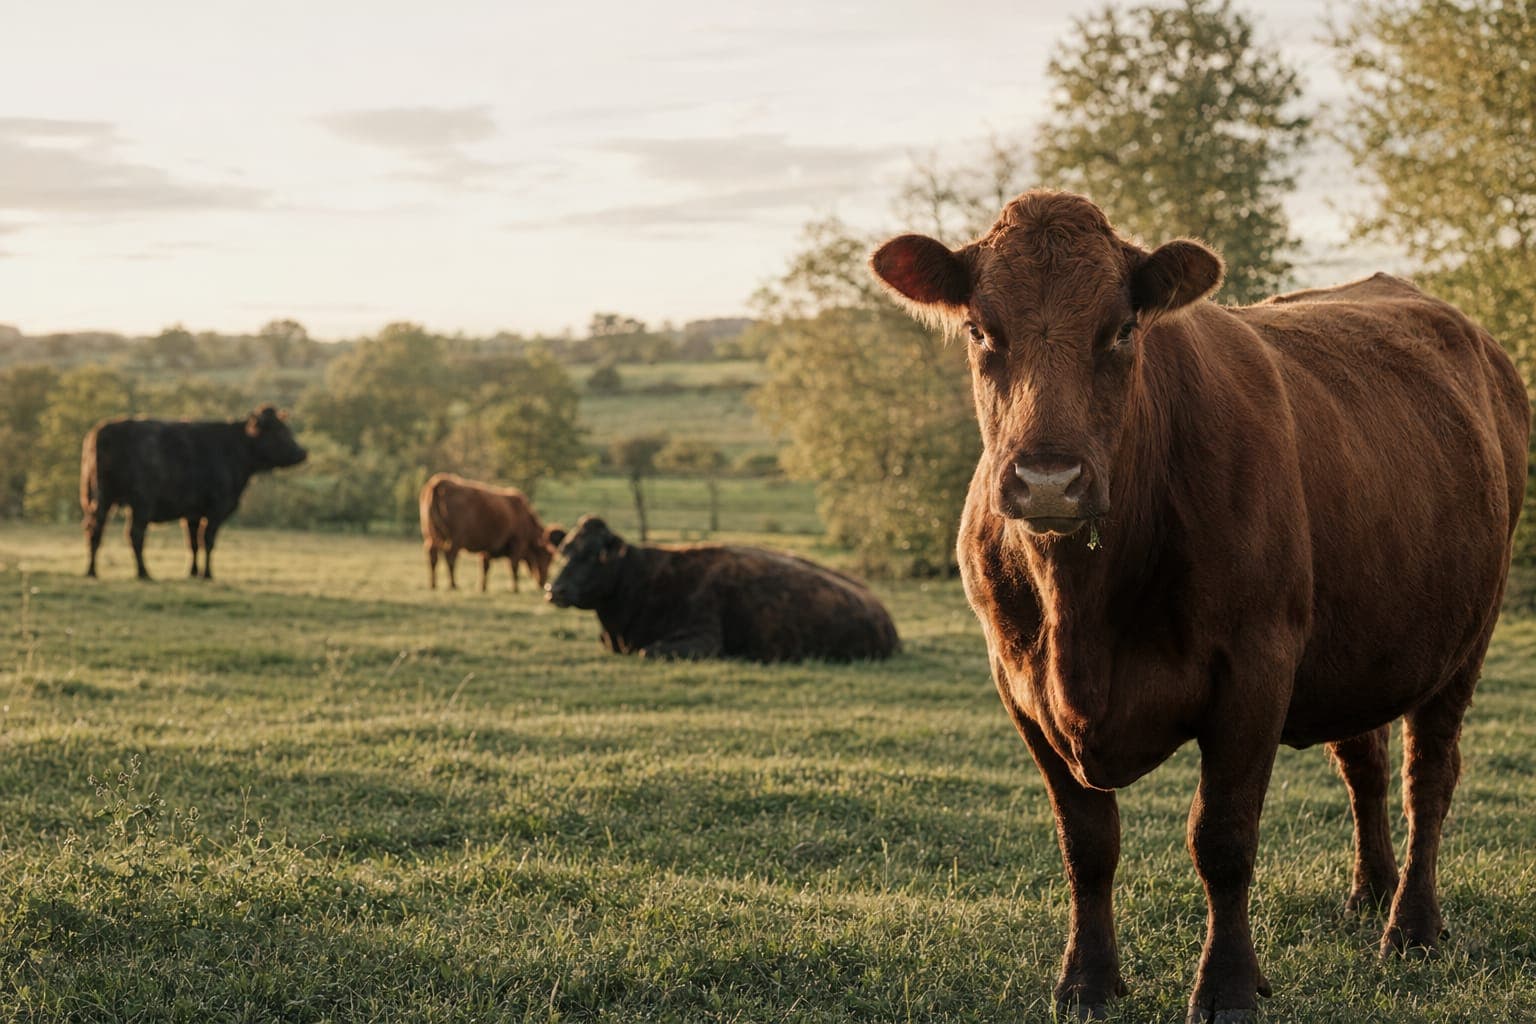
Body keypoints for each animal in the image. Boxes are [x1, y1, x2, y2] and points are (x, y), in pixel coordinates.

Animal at [82, 405, 308, 580]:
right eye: (279, 431)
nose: (302, 452)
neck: (233, 449)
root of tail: (104, 430)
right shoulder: (216, 510)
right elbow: (207, 541)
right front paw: (207, 574)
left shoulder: (192, 513)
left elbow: (193, 543)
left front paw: (193, 572)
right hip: (140, 504)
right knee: (134, 534)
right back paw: (143, 573)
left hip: (101, 500)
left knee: (94, 530)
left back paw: (92, 571)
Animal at [418, 472, 563, 593]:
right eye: (547, 556)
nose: (543, 582)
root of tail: (440, 483)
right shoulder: (517, 543)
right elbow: (513, 566)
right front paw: (515, 588)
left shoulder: (487, 547)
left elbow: (485, 567)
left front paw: (482, 587)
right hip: (455, 539)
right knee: (450, 557)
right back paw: (453, 585)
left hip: (430, 536)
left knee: (433, 557)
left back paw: (433, 585)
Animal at [870, 190, 1529, 1023]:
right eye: (979, 330)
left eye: (1122, 329)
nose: (1050, 478)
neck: (1081, 614)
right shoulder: (1017, 681)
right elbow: (1086, 841)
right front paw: (1087, 981)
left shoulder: (1255, 667)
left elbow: (1222, 838)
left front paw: (1228, 985)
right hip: (1364, 639)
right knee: (1365, 763)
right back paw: (1369, 892)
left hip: (1467, 638)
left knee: (1429, 778)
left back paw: (1411, 925)